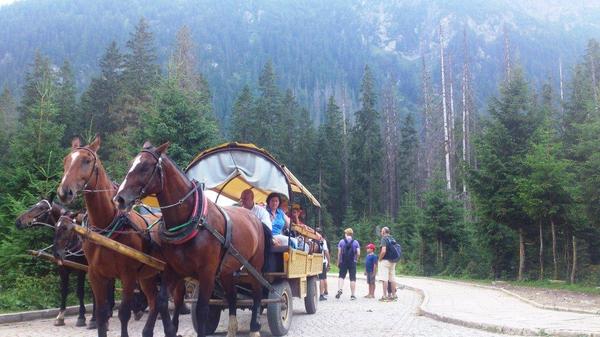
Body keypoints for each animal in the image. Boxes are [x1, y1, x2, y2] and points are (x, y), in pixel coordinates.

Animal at [56, 136, 183, 336]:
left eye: (87, 160)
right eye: (66, 161)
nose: (64, 192)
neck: (106, 226)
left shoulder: (128, 275)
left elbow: (124, 313)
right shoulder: (96, 274)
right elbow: (101, 314)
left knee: (175, 298)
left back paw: (172, 326)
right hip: (147, 276)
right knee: (155, 302)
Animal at [114, 141, 268, 336]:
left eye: (145, 167)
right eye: (131, 164)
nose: (119, 199)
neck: (192, 219)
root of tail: (253, 216)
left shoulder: (207, 272)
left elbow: (202, 309)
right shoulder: (173, 269)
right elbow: (162, 301)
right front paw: (171, 329)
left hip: (254, 265)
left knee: (257, 294)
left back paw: (255, 327)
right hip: (227, 270)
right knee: (232, 297)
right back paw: (232, 329)